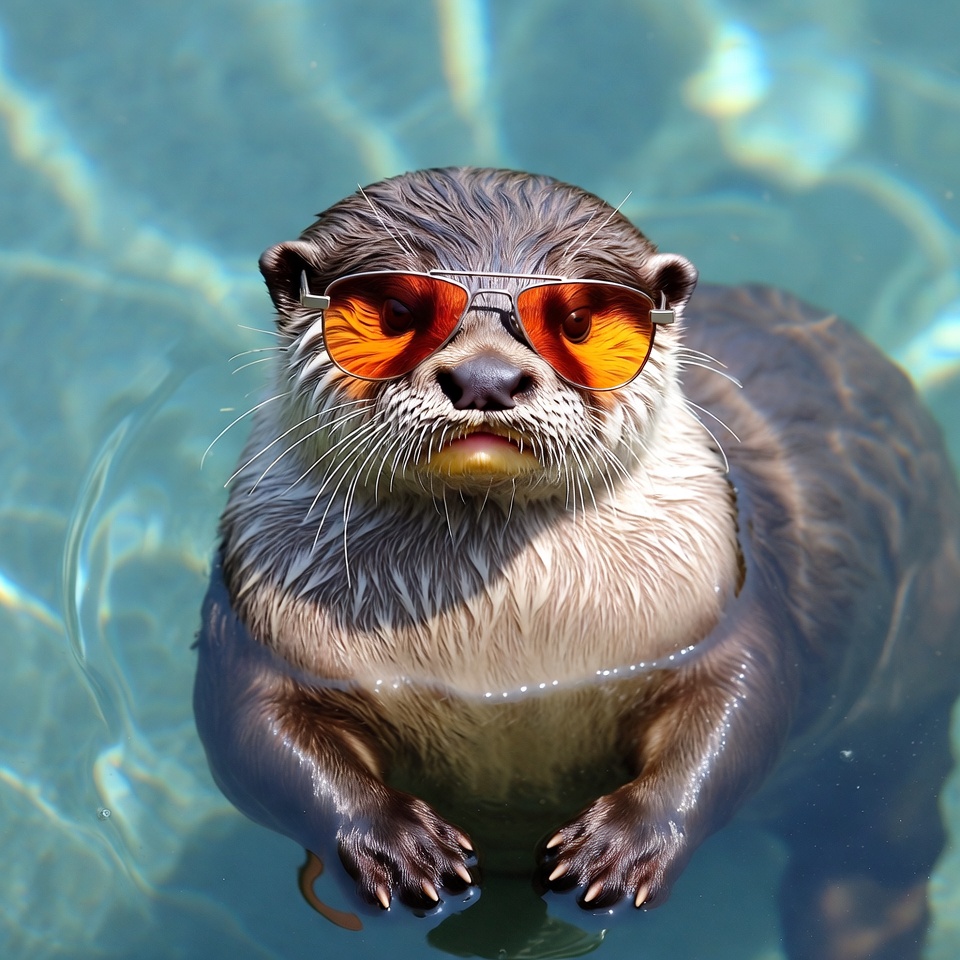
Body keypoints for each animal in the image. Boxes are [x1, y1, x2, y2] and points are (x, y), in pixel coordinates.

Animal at [194, 167, 960, 959]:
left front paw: (622, 848)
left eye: (579, 323)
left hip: (906, 707)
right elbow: (248, 736)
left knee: (876, 845)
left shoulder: (723, 607)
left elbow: (740, 707)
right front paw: (396, 845)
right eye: (397, 311)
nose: (488, 377)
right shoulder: (258, 625)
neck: (502, 667)